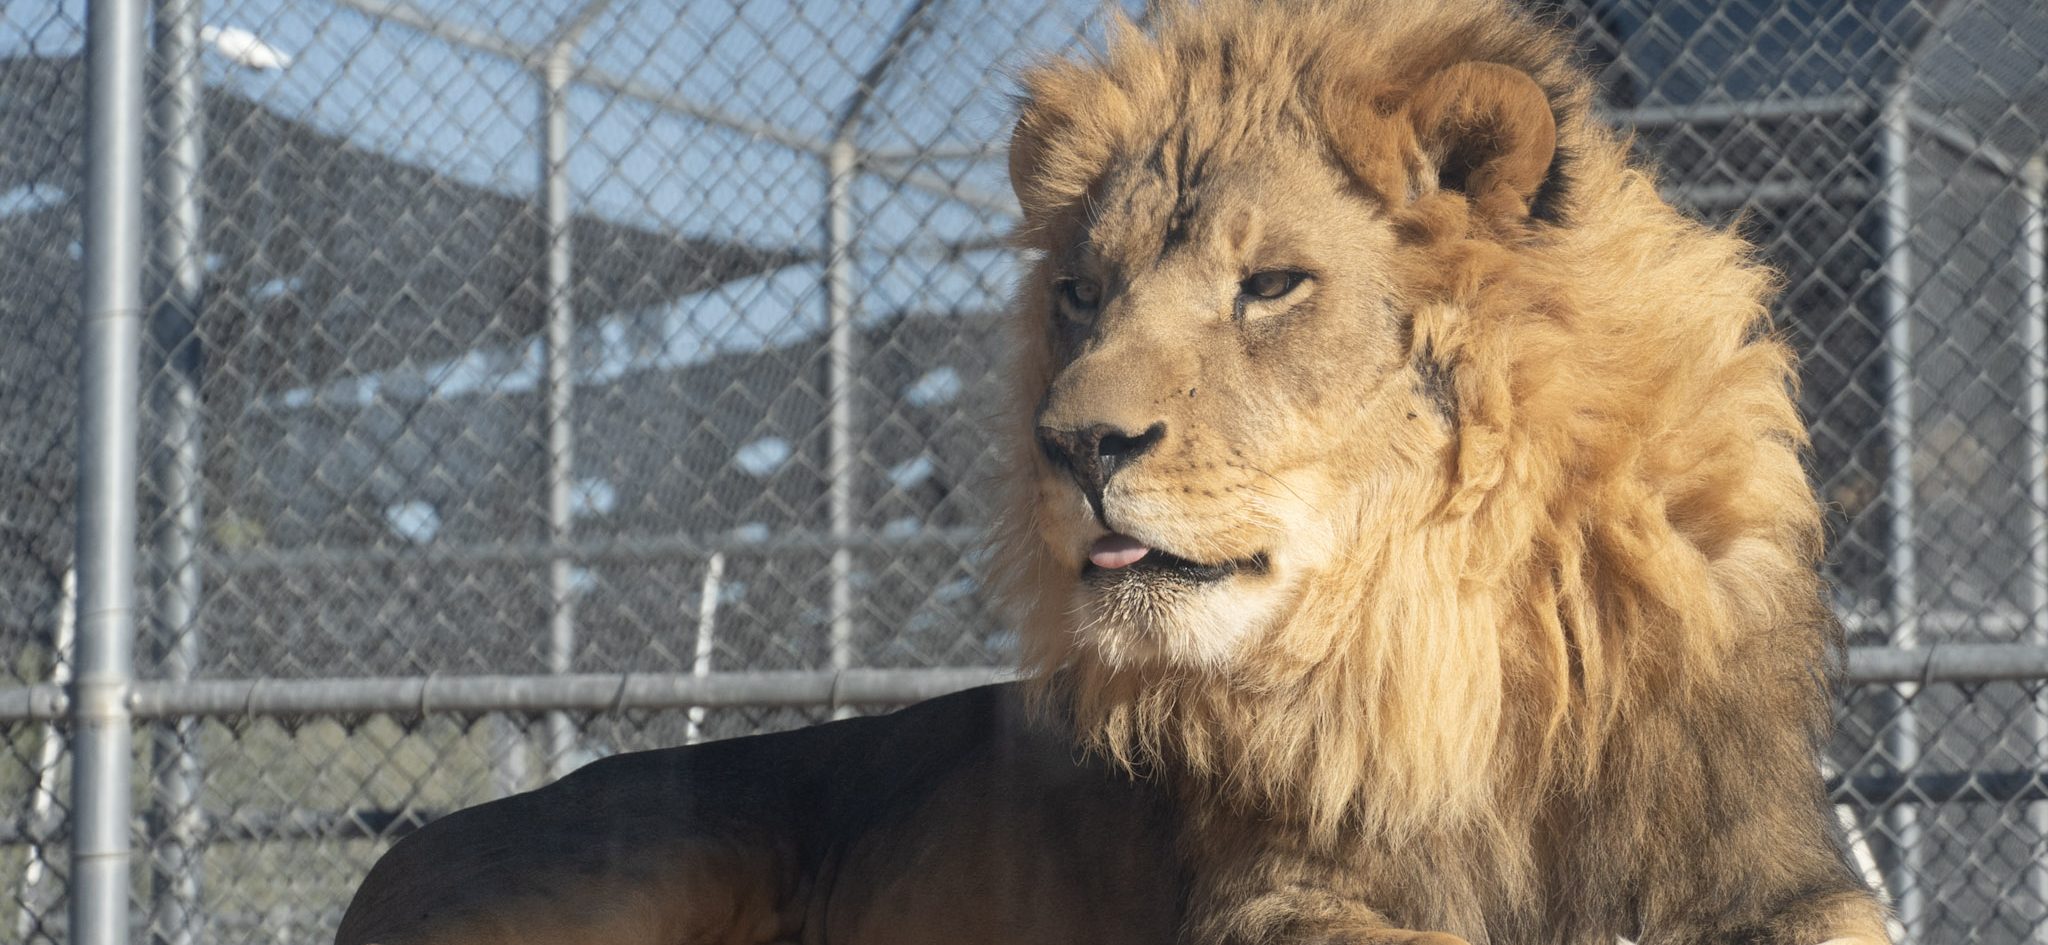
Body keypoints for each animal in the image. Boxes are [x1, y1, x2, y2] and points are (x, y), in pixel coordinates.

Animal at [335, 2, 1891, 943]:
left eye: (1271, 285)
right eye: (1083, 295)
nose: (1075, 444)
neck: (1432, 635)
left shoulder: (1763, 863)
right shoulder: (1265, 895)